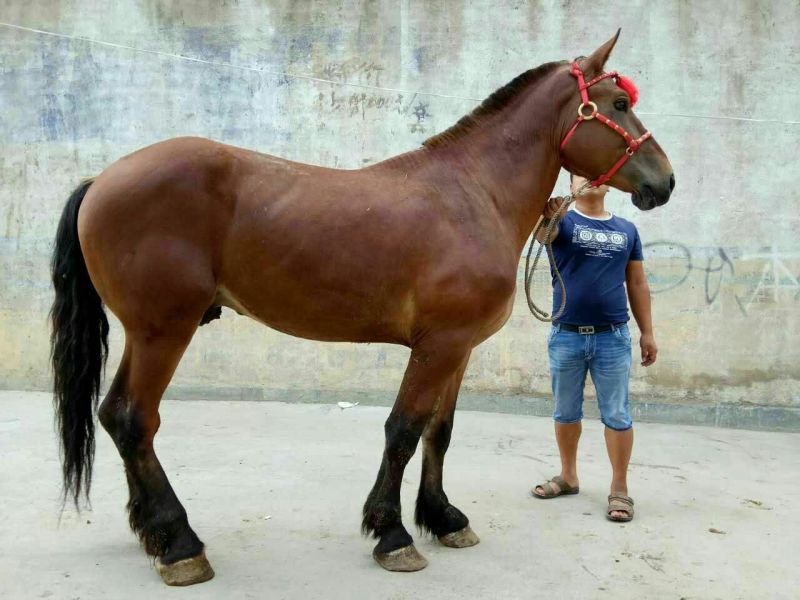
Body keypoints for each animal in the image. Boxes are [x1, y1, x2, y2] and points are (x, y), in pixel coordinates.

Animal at [50, 31, 673, 586]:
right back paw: (181, 544)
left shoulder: (458, 349)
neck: (472, 194)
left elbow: (439, 432)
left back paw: (154, 535)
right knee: (135, 418)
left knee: (117, 416)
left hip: (148, 333)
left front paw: (444, 519)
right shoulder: (437, 346)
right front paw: (392, 535)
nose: (664, 181)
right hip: (164, 331)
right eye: (618, 104)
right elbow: (402, 430)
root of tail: (101, 179)